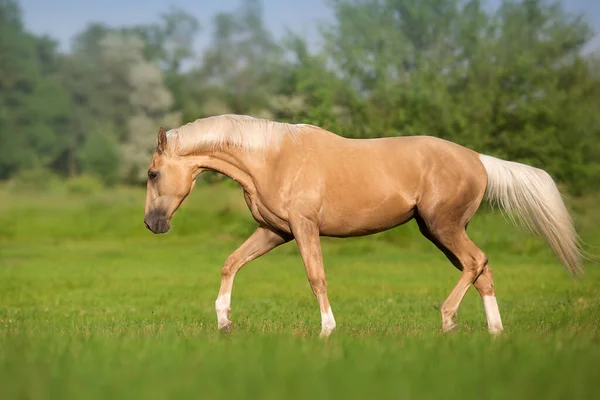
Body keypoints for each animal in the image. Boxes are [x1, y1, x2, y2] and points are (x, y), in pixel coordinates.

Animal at [143, 113, 584, 338]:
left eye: (151, 174)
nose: (152, 224)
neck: (272, 158)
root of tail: (478, 159)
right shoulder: (275, 231)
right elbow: (231, 262)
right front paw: (224, 321)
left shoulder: (303, 228)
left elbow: (316, 277)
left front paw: (327, 331)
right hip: (439, 231)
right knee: (482, 271)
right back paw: (492, 333)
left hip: (444, 227)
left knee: (476, 263)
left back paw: (447, 319)